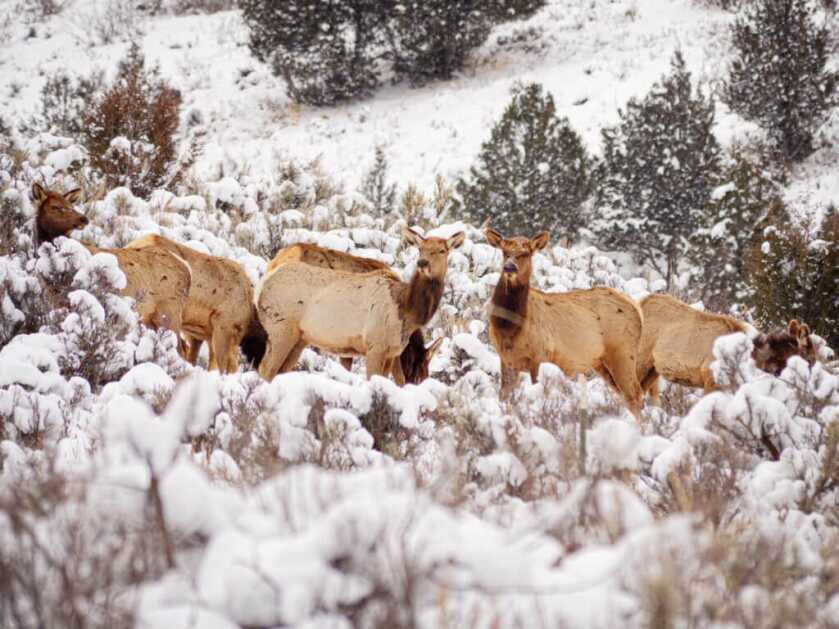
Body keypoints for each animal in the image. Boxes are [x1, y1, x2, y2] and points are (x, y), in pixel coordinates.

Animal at [31, 183, 191, 350]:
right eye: (55, 206)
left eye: (71, 205)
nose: (83, 218)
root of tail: (187, 270)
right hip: (151, 317)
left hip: (169, 311)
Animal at [256, 226, 464, 382]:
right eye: (420, 248)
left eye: (443, 250)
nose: (422, 263)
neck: (407, 311)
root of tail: (263, 282)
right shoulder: (375, 346)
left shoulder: (391, 352)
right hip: (281, 328)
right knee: (265, 369)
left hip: (299, 338)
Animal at [484, 227, 644, 419]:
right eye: (504, 251)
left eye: (526, 253)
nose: (509, 267)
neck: (508, 327)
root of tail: (637, 309)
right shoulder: (506, 359)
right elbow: (503, 395)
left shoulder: (539, 354)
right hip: (601, 363)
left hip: (623, 353)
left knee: (635, 395)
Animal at [637, 293, 818, 404]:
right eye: (810, 359)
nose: (811, 390)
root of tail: (640, 301)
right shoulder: (710, 377)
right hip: (640, 360)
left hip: (653, 370)